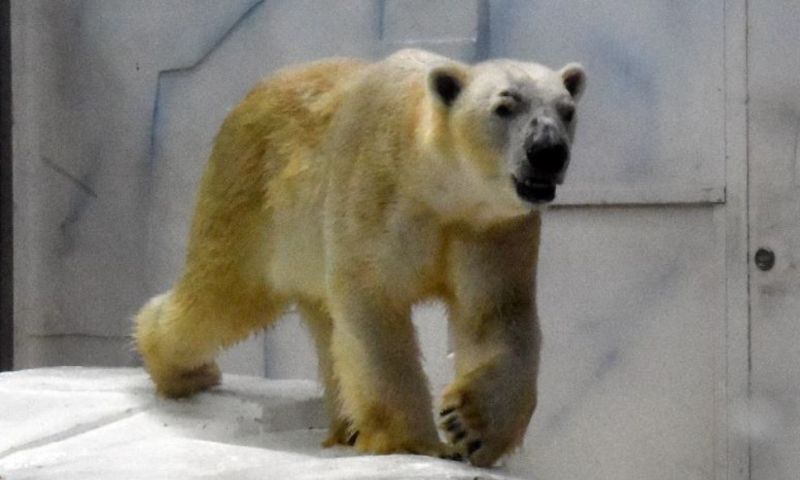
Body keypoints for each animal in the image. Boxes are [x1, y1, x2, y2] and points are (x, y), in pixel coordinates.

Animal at [136, 48, 588, 464]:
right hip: (250, 201)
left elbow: (496, 316)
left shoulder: (491, 229)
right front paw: (417, 443)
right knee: (221, 297)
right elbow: (374, 309)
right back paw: (184, 371)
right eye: (504, 106)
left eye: (567, 111)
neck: (432, 183)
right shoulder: (376, 198)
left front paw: (470, 427)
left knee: (322, 326)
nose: (548, 151)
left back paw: (347, 428)